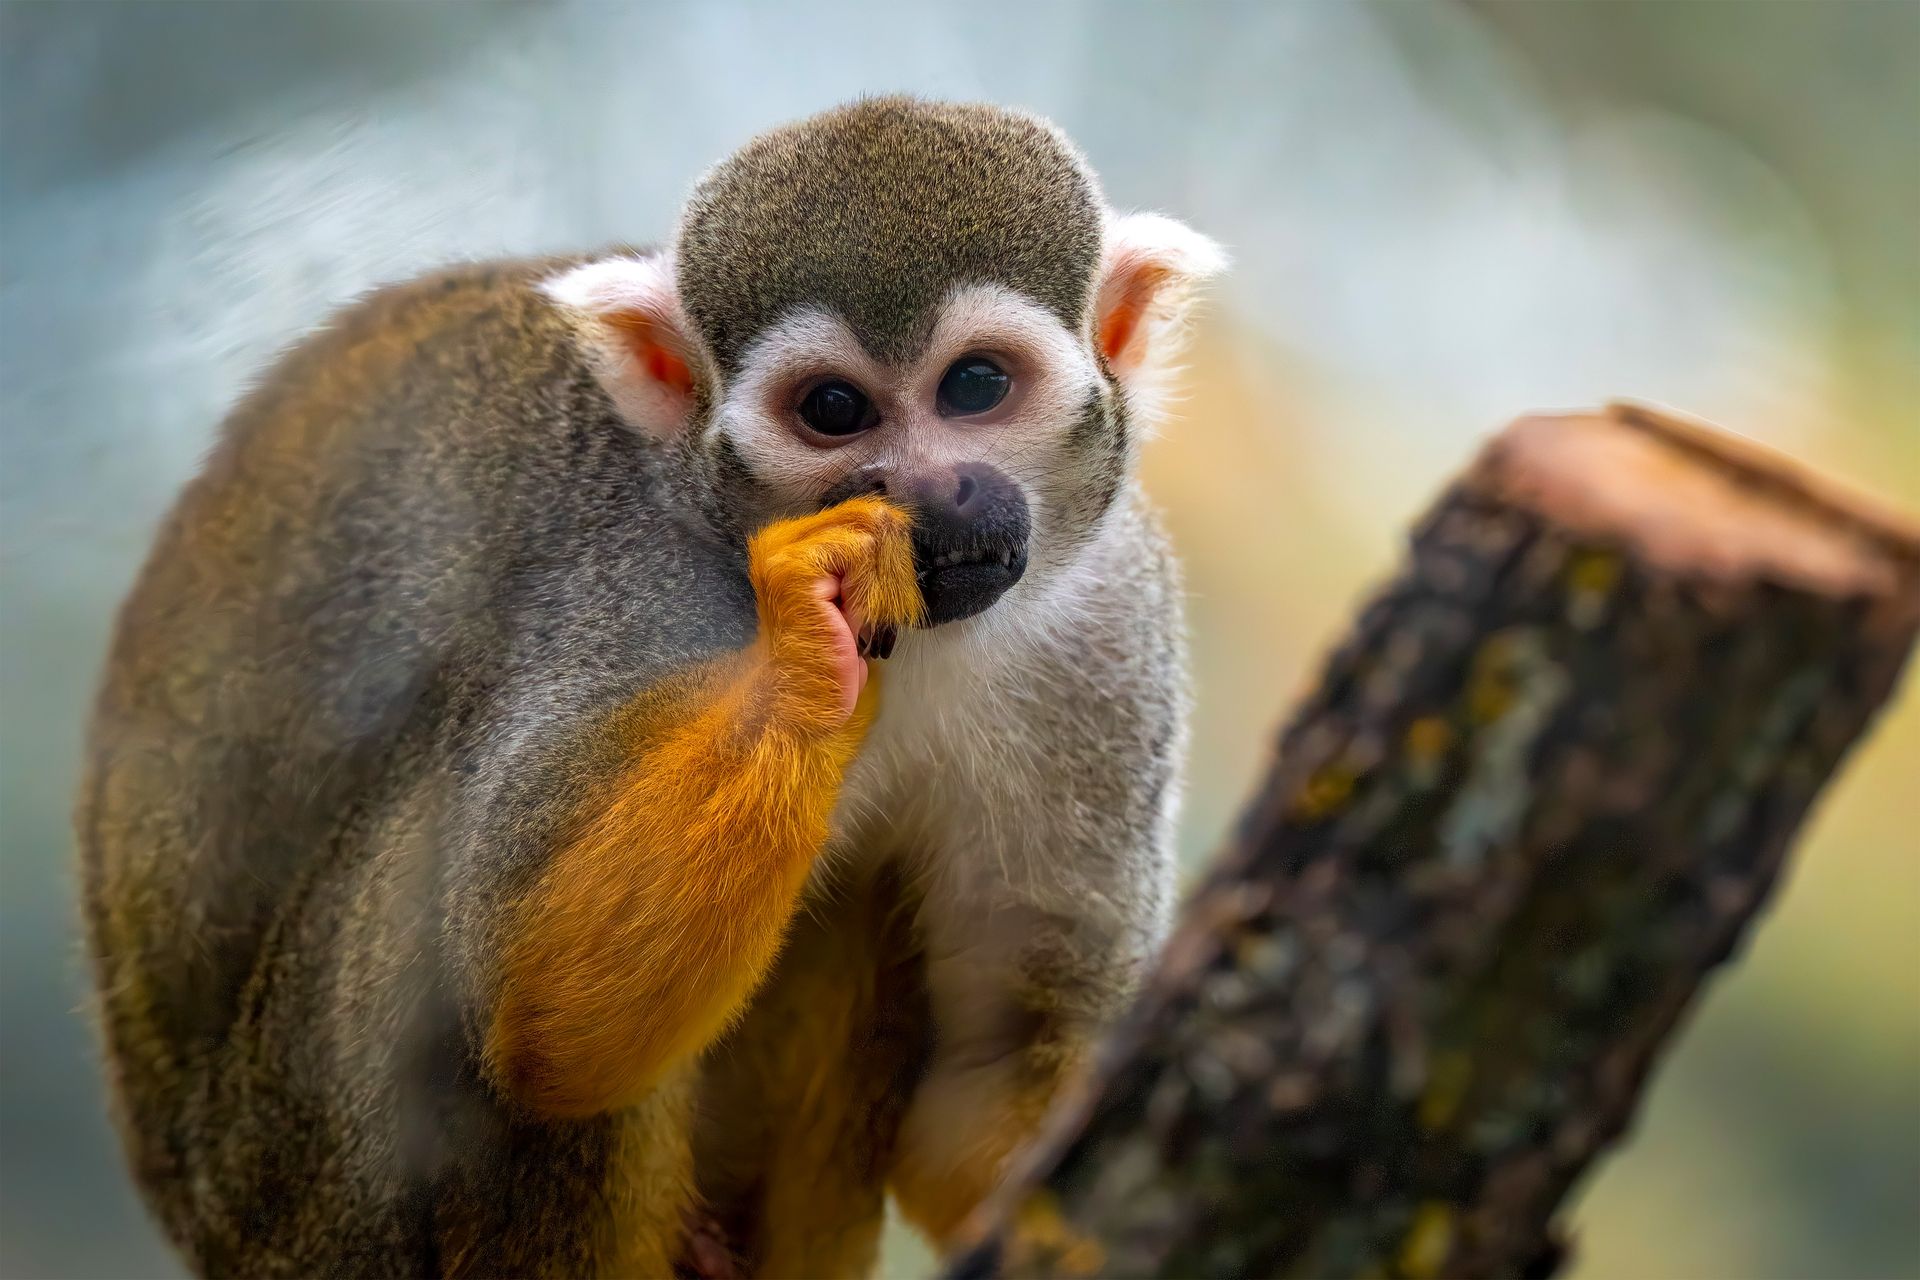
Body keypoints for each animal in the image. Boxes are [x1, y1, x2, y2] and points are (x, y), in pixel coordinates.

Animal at [77, 96, 1224, 1278]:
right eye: (833, 409)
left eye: (978, 386)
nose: (927, 498)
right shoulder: (627, 587)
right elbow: (542, 1005)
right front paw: (808, 634)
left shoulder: (1111, 622)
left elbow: (994, 1074)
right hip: (308, 1187)